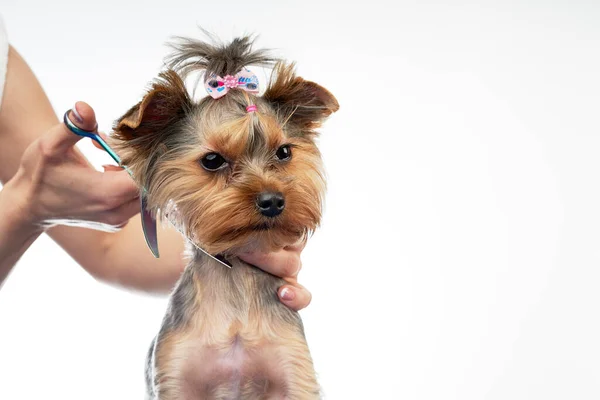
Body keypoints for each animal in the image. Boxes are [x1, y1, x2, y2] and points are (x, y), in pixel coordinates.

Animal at [111, 32, 338, 398]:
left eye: (284, 152)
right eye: (212, 160)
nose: (273, 200)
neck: (237, 277)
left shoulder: (294, 370)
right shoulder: (174, 373)